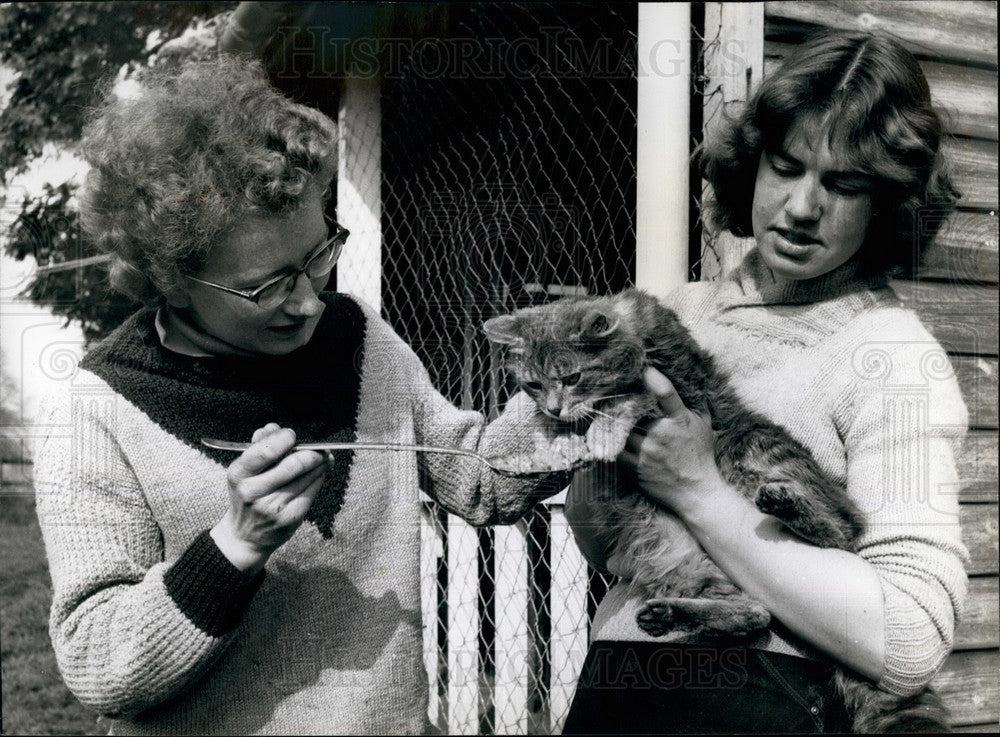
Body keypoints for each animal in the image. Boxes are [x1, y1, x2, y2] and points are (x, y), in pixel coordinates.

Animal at [484, 288, 952, 736]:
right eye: (533, 385)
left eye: (573, 377)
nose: (553, 406)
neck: (637, 331)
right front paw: (550, 439)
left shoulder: (679, 388)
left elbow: (627, 397)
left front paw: (599, 431)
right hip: (674, 557)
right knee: (754, 612)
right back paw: (676, 615)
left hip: (758, 454)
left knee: (839, 528)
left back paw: (788, 506)